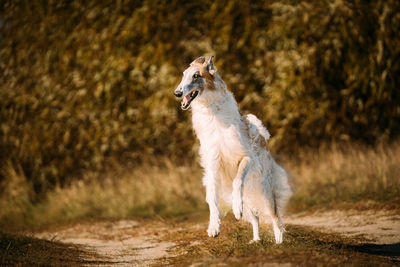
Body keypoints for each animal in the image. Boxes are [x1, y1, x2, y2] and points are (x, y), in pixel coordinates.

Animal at [173, 56, 292, 245]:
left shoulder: (246, 158)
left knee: (275, 216)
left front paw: (235, 209)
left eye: (196, 76)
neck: (212, 113)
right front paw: (214, 227)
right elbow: (212, 201)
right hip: (250, 197)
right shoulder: (212, 168)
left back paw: (279, 241)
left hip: (264, 190)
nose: (177, 93)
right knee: (255, 217)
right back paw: (256, 240)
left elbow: (237, 181)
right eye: (184, 75)